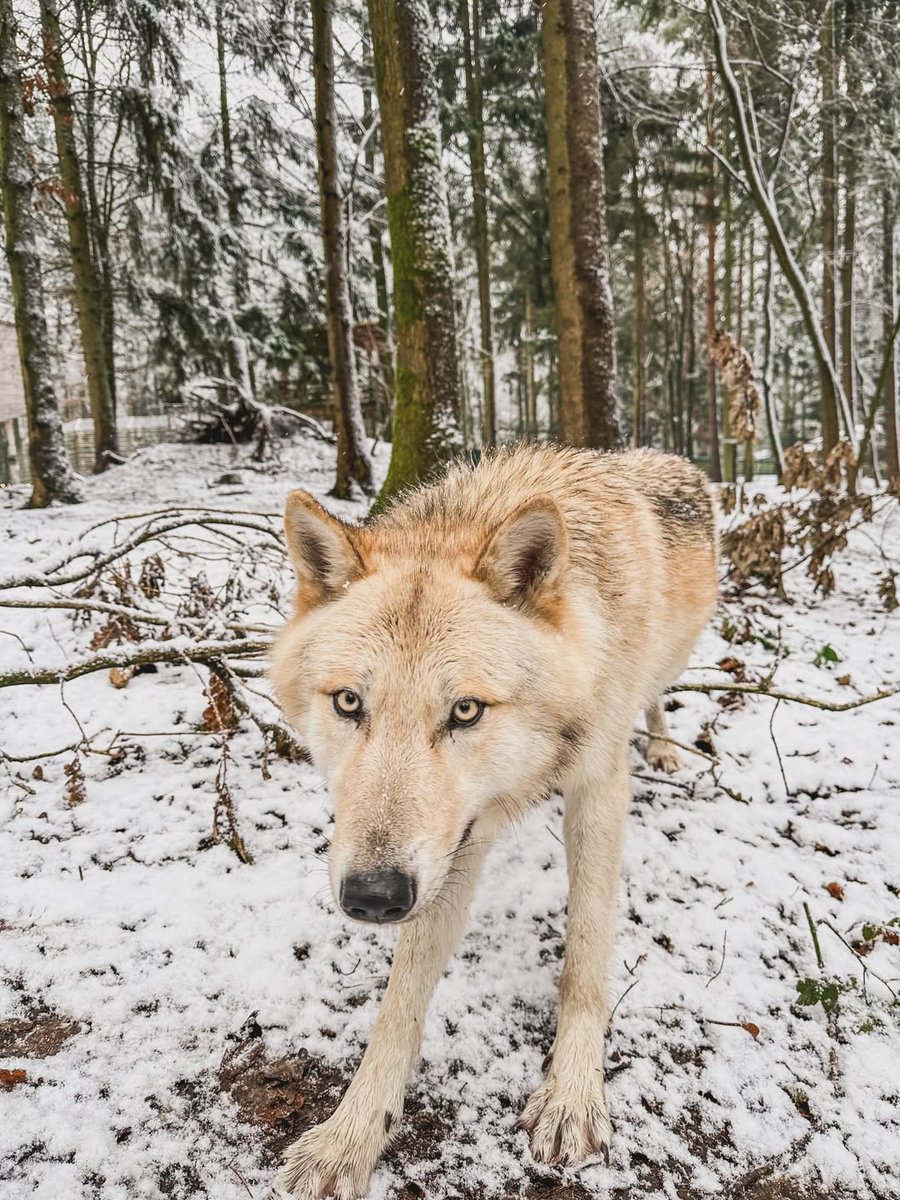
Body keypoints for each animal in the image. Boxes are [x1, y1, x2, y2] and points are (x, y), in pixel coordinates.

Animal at [269, 444, 717, 1199]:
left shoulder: (597, 788)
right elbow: (399, 1004)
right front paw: (351, 1136)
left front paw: (572, 1097)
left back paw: (661, 746)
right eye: (350, 703)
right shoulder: (450, 844)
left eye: (466, 711)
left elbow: (585, 954)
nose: (372, 898)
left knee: (658, 698)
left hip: (669, 666)